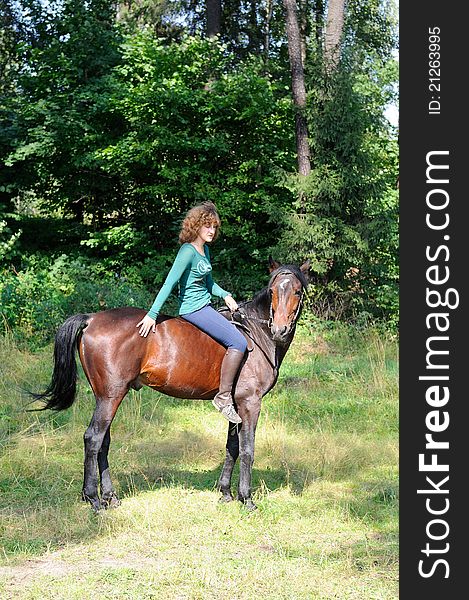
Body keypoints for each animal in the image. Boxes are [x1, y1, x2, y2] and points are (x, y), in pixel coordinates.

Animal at [33, 258, 310, 510]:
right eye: (272, 292)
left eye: (297, 291)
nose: (280, 330)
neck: (255, 333)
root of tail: (91, 318)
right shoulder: (250, 403)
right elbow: (247, 449)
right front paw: (247, 498)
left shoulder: (235, 406)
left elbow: (232, 447)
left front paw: (226, 493)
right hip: (111, 397)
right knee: (93, 439)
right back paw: (93, 498)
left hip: (106, 397)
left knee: (103, 442)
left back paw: (110, 497)